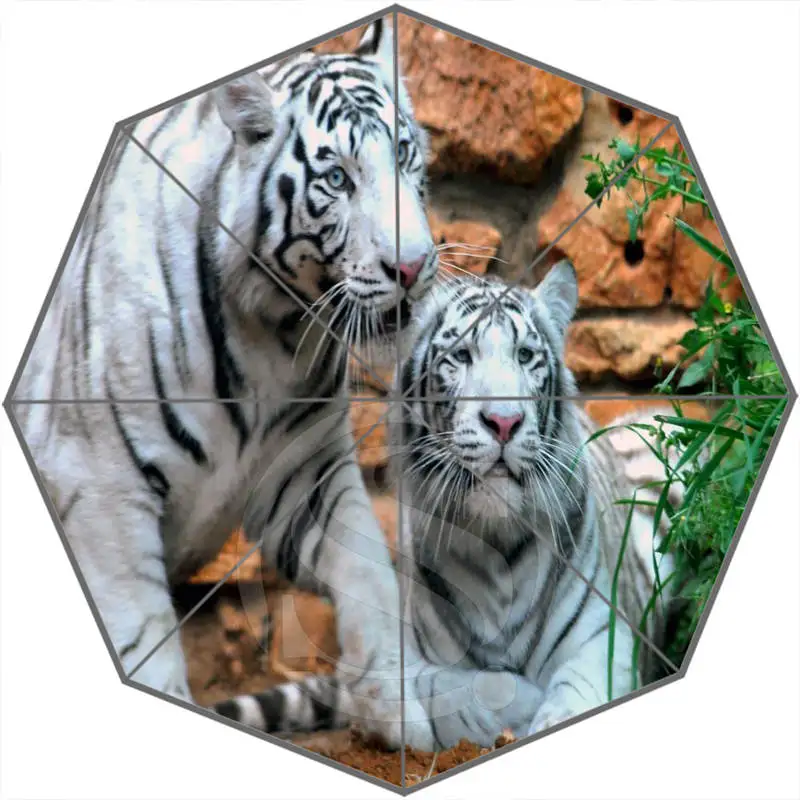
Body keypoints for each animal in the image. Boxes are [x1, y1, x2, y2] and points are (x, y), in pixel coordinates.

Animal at [12, 18, 438, 747]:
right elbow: (143, 638)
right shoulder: (102, 489)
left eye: (405, 157)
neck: (275, 330)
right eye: (338, 178)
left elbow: (369, 573)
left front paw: (394, 706)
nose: (413, 268)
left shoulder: (306, 475)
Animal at [212, 260, 684, 751]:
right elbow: (462, 691)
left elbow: (570, 699)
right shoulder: (403, 658)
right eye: (460, 356)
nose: (504, 422)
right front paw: (514, 703)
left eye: (525, 356)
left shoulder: (601, 644)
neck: (497, 549)